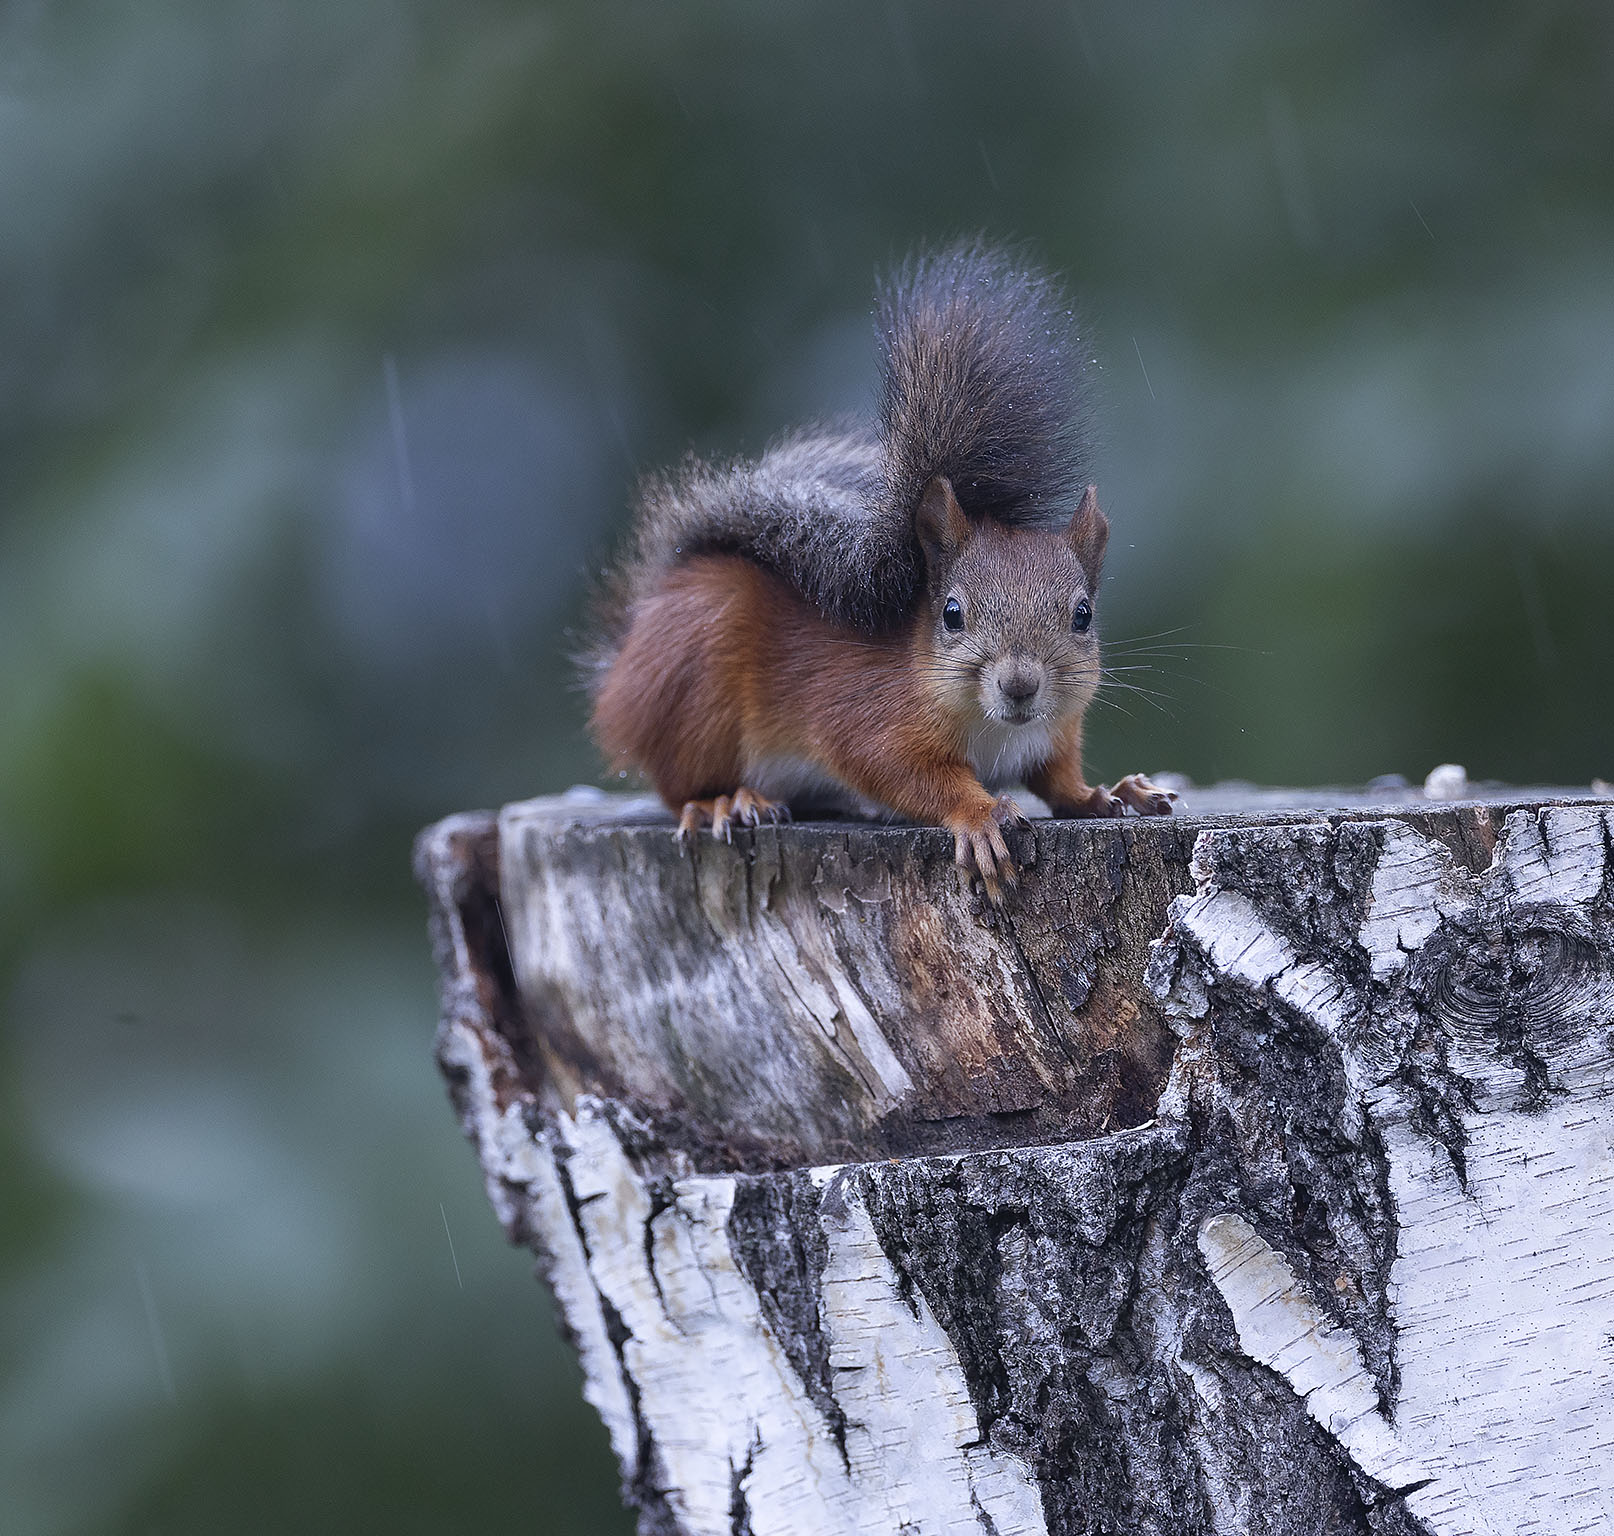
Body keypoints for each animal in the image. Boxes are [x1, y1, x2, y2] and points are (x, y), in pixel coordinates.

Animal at [581, 240, 1174, 897]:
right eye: (952, 613)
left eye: (1083, 615)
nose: (1020, 685)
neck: (997, 728)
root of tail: (622, 662)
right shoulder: (870, 717)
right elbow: (903, 773)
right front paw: (981, 815)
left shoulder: (1052, 734)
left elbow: (1060, 782)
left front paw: (1111, 792)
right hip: (693, 687)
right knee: (677, 785)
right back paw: (724, 802)